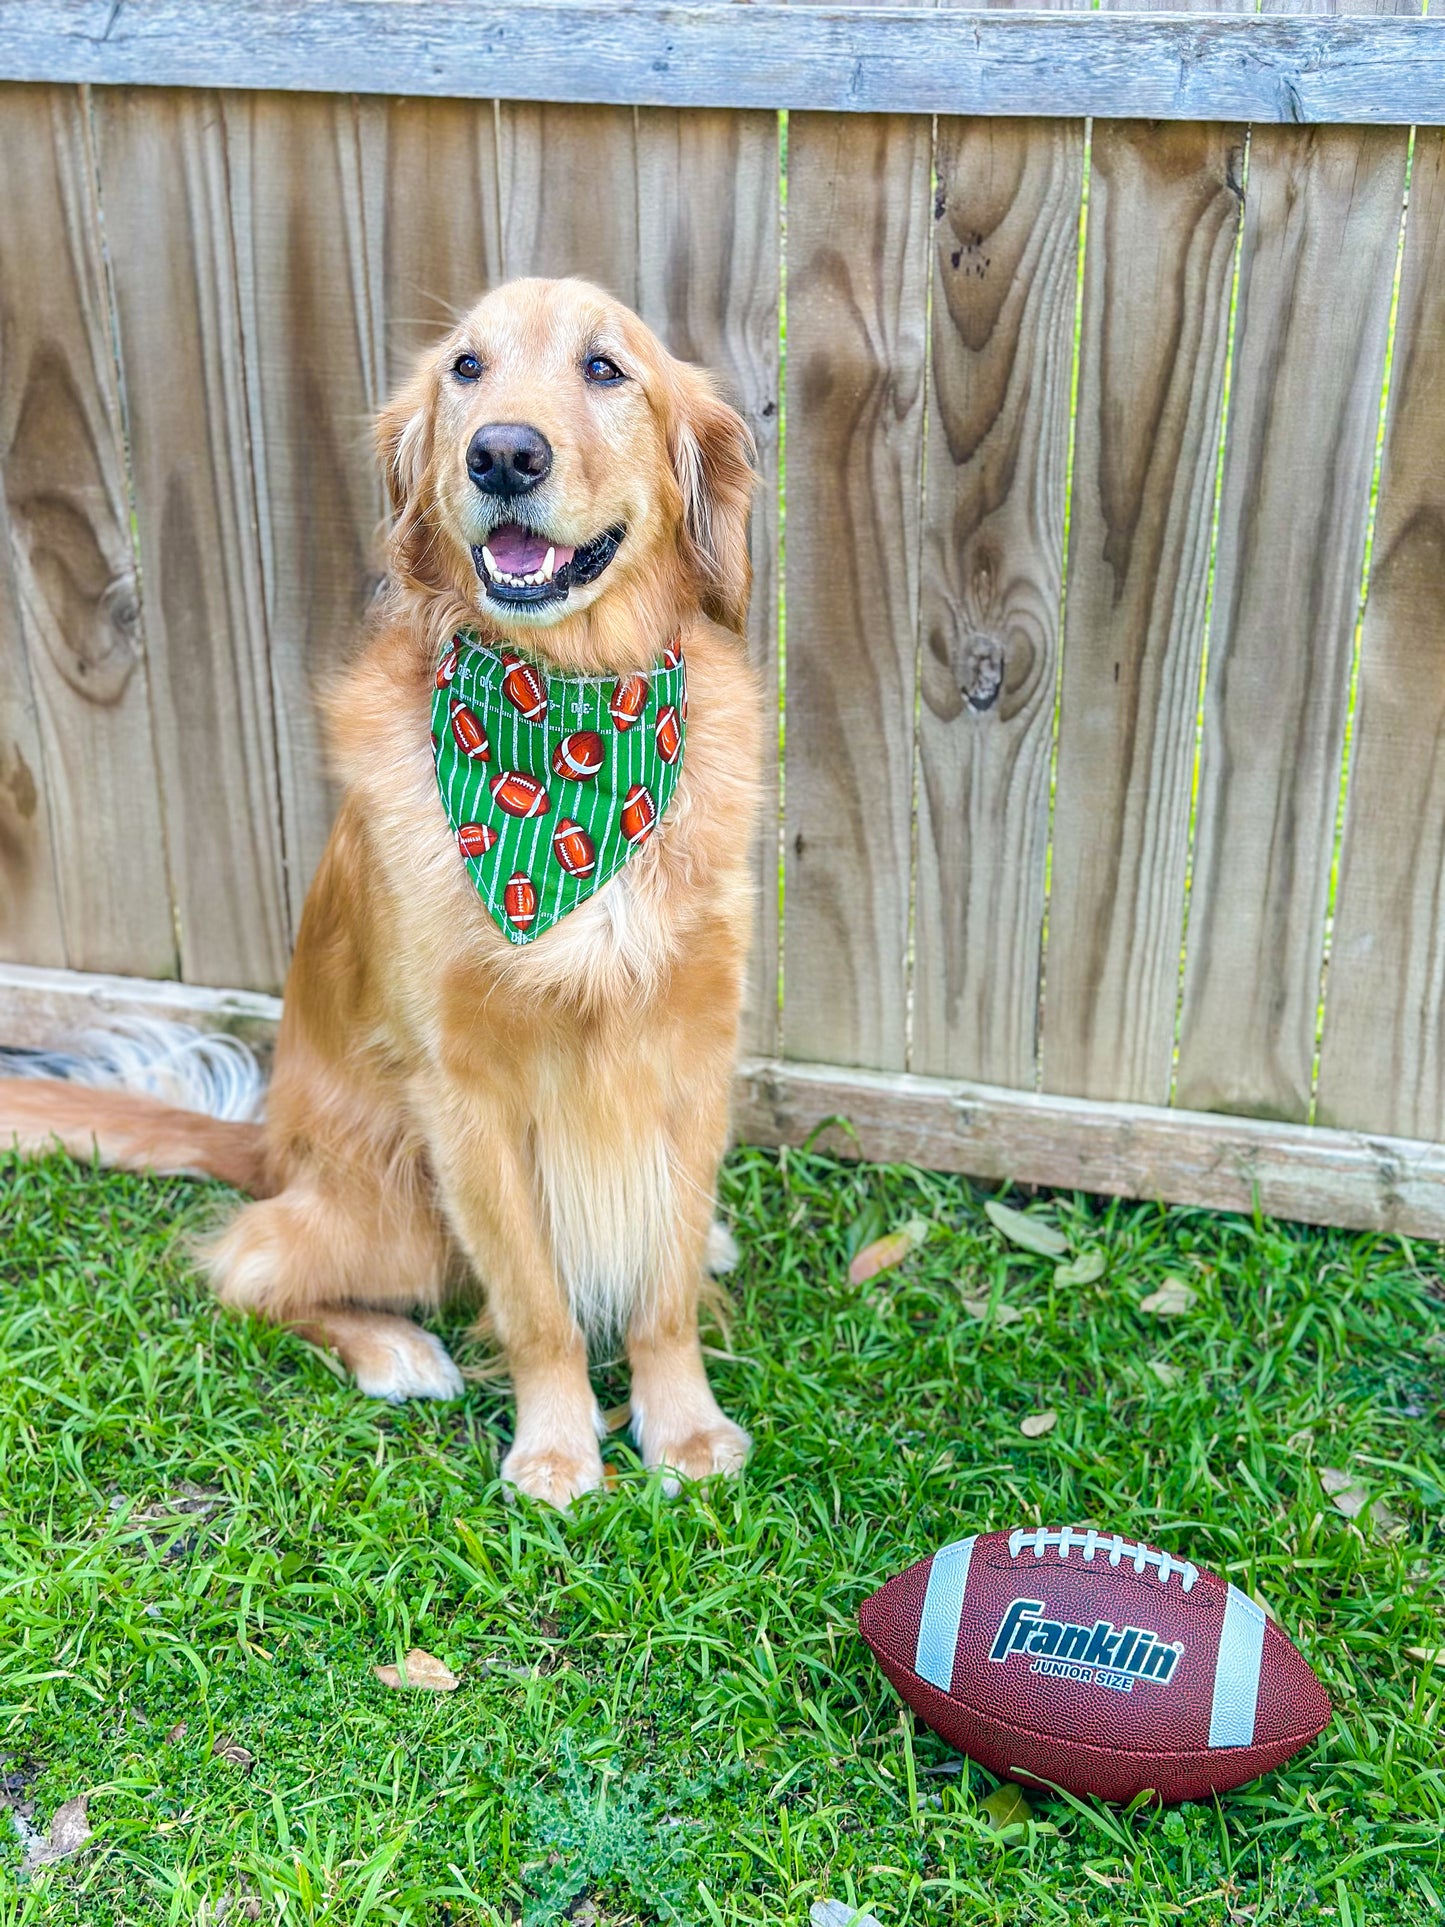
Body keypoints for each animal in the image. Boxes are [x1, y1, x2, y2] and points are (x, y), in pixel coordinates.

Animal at [0, 275, 762, 1503]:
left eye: (606, 368)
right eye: (465, 368)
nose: (503, 453)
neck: (567, 727)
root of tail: (274, 1139)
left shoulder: (692, 1050)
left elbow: (662, 1286)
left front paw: (683, 1428)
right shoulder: (467, 1097)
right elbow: (538, 1303)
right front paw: (558, 1448)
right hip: (394, 1204)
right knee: (248, 1263)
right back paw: (394, 1351)